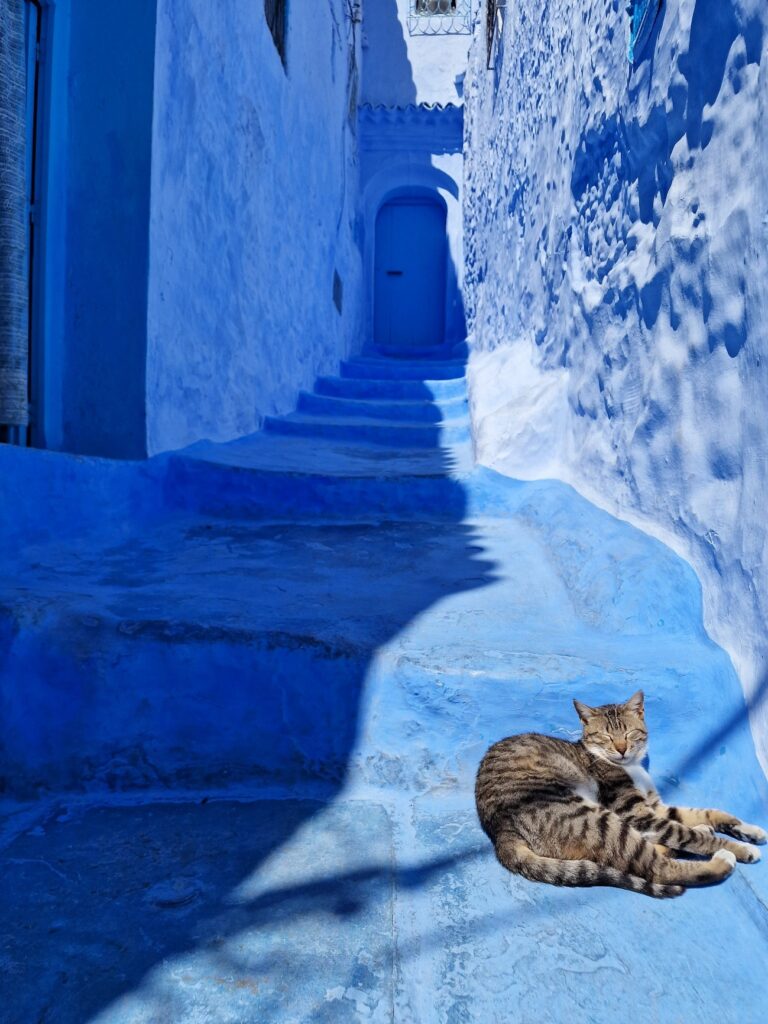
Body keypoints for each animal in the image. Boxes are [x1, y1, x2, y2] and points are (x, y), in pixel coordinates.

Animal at [479, 692, 765, 901]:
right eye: (606, 736)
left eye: (629, 733)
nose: (621, 748)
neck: (631, 766)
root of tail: (500, 830)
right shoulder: (634, 810)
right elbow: (685, 833)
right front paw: (740, 848)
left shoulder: (654, 806)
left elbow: (703, 813)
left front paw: (748, 829)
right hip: (597, 819)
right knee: (656, 867)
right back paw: (721, 861)